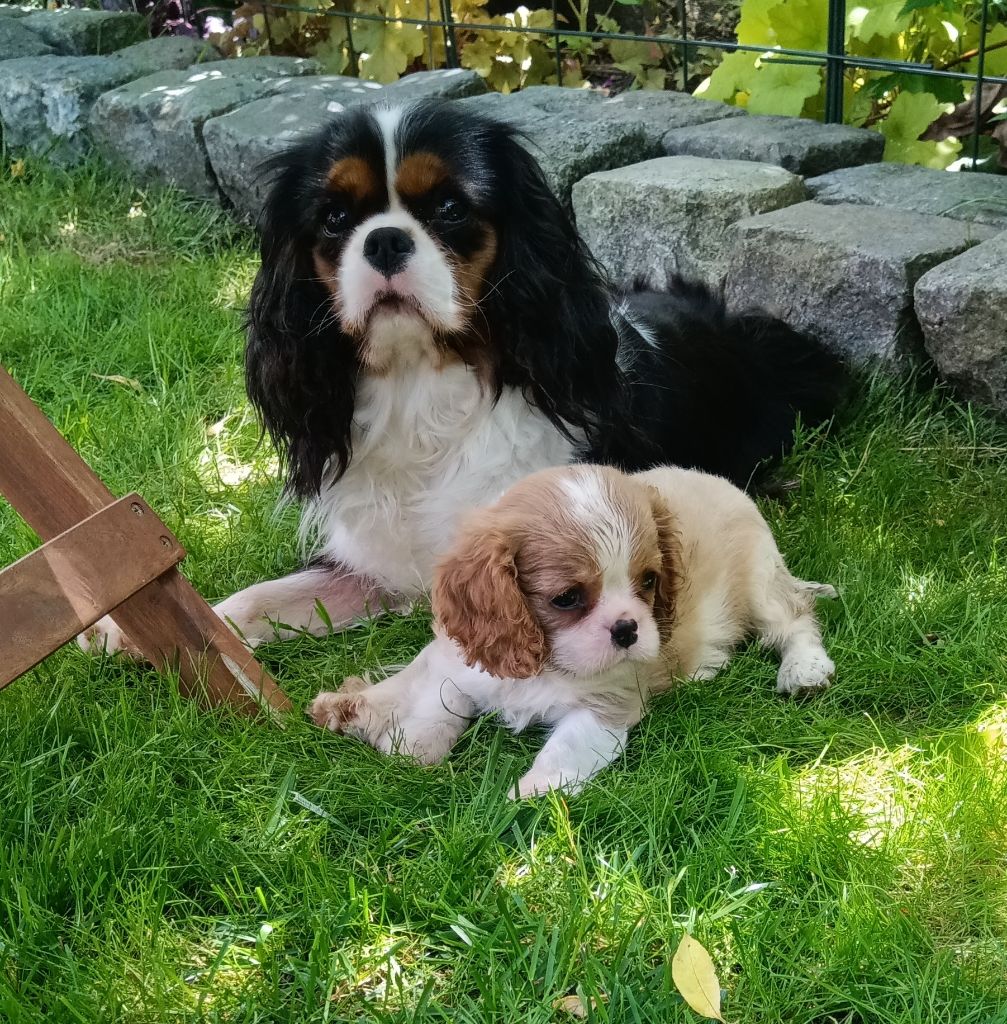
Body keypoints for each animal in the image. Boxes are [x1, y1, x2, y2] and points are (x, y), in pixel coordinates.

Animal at [311, 464, 840, 798]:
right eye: (567, 598)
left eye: (649, 581)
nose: (627, 629)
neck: (544, 664)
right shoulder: (464, 663)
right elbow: (439, 701)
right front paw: (413, 745)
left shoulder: (606, 705)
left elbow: (567, 745)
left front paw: (534, 790)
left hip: (759, 581)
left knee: (796, 618)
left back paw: (804, 670)